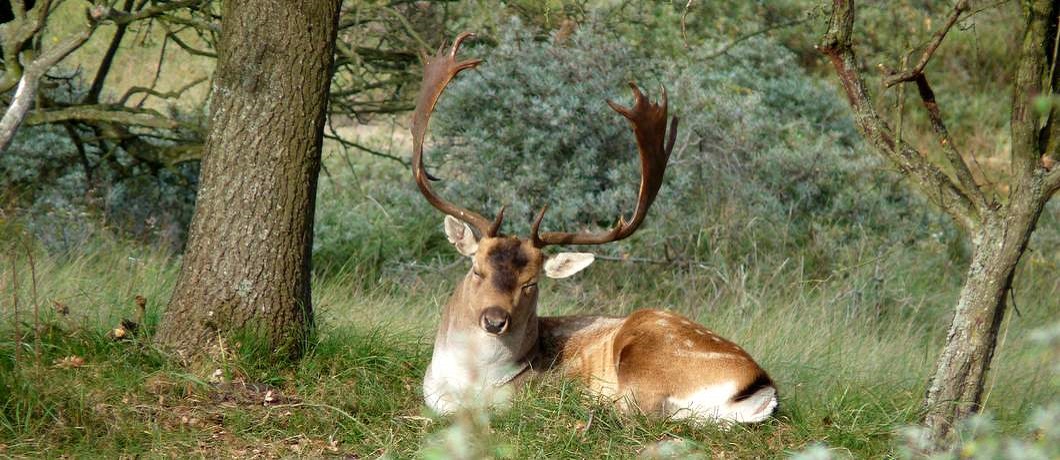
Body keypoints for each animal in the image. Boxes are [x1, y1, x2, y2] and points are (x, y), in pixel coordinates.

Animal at [413, 32, 780, 426]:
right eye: (476, 270)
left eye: (531, 284)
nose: (494, 320)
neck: (466, 385)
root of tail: (761, 387)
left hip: (649, 349)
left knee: (640, 409)